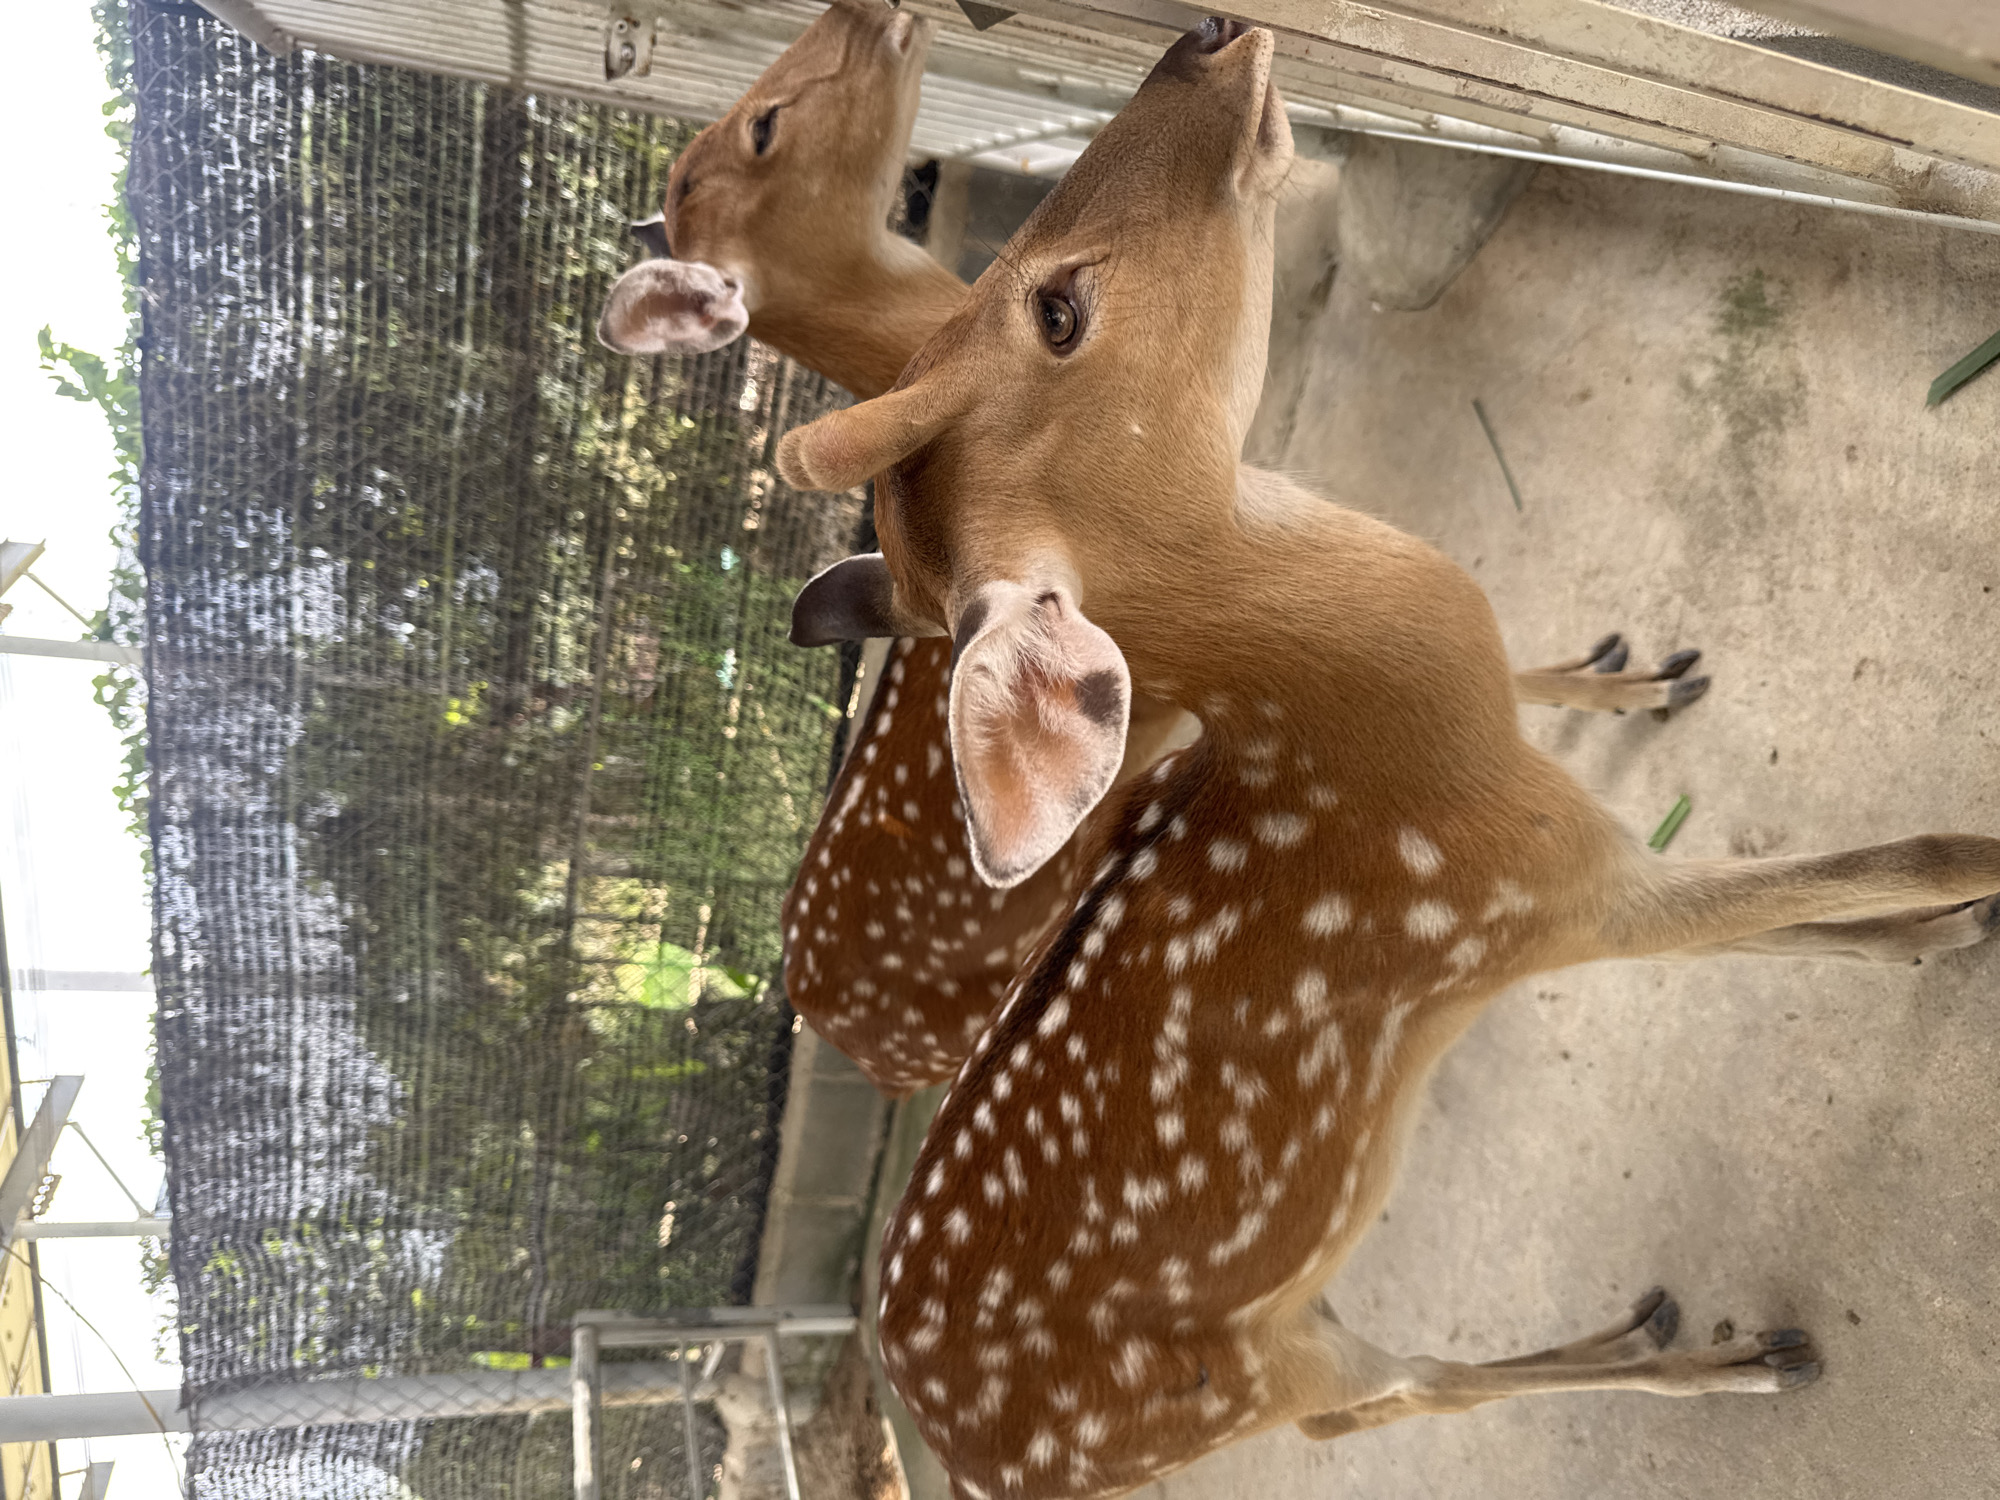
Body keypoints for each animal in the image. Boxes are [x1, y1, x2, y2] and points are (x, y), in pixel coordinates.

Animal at [774, 19, 2000, 1497]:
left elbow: (1800, 914)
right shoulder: (1533, 898)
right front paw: (1966, 897)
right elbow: (1884, 856)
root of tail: (972, 1457)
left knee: (1385, 1392)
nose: (1200, 35)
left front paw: (1919, 928)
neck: (1403, 748)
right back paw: (1734, 1355)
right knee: (1402, 1395)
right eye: (1058, 313)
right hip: (1228, 1376)